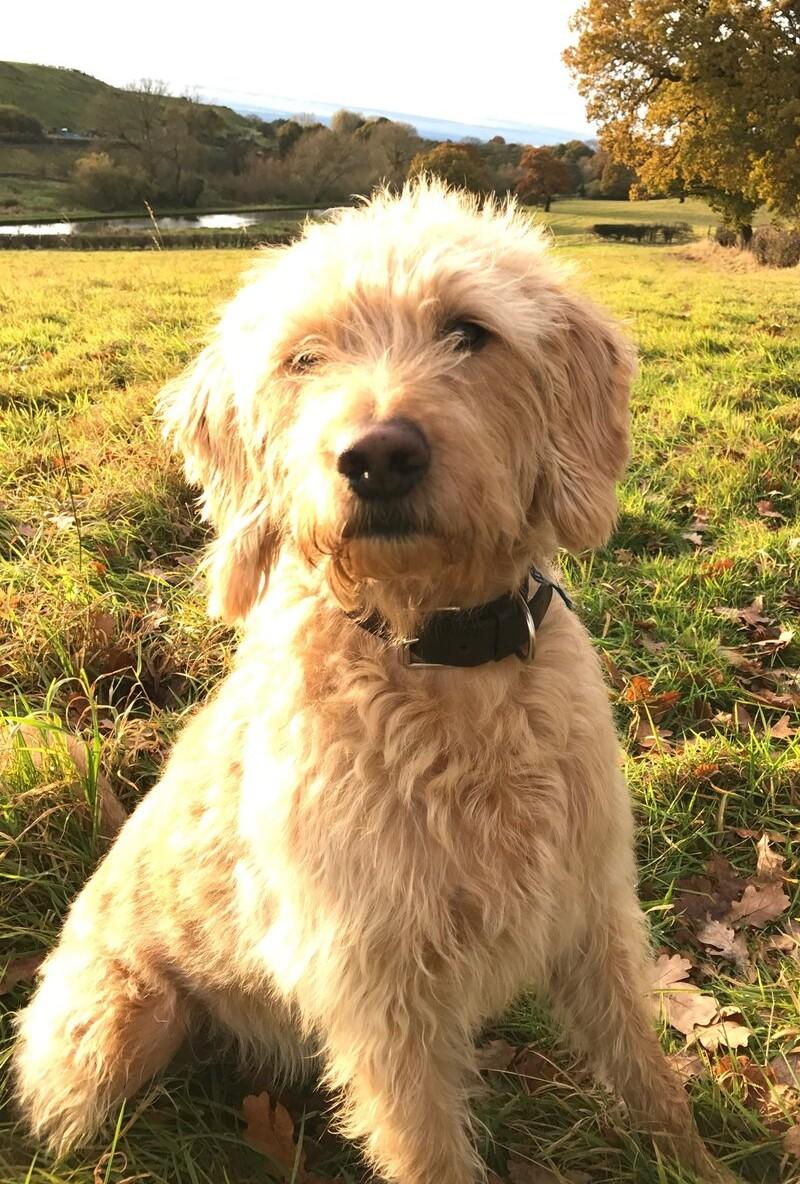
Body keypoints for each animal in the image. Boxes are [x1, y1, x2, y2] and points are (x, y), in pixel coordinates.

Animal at [14, 182, 733, 1184]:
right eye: (304, 357)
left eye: (469, 332)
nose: (377, 456)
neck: (436, 659)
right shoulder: (379, 988)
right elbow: (428, 1146)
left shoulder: (592, 911)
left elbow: (643, 1066)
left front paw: (698, 1162)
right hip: (116, 1029)